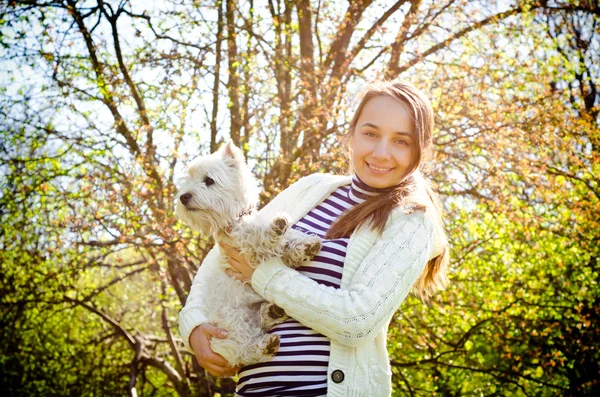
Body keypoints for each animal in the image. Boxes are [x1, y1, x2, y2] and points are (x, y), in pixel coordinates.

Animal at [175, 141, 322, 366]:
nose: (184, 197)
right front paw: (275, 228)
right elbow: (255, 234)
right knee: (243, 346)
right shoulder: (242, 243)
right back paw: (265, 344)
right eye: (188, 180)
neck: (235, 218)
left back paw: (272, 311)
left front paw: (305, 245)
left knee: (258, 322)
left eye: (208, 180)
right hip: (234, 318)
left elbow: (288, 243)